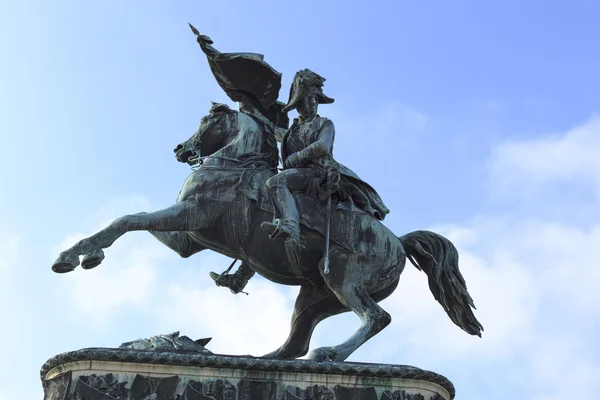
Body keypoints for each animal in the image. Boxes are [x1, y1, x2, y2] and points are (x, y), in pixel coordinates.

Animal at [50, 103, 482, 362]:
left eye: (207, 119)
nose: (180, 150)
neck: (232, 164)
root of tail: (398, 243)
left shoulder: (190, 215)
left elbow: (127, 219)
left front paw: (75, 256)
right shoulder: (187, 238)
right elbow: (133, 218)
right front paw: (84, 253)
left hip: (345, 282)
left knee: (376, 318)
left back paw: (331, 354)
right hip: (315, 298)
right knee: (295, 344)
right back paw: (255, 360)